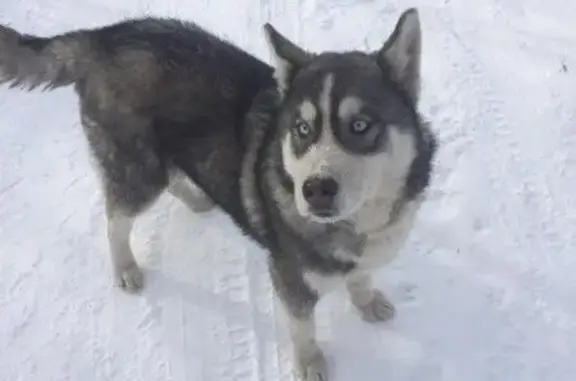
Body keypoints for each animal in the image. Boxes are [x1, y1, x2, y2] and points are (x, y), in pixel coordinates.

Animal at [0, 8, 436, 380]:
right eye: (302, 130)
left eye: (361, 125)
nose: (315, 190)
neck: (360, 225)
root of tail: (104, 37)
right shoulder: (290, 278)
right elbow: (303, 326)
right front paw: (310, 361)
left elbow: (361, 277)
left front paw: (366, 300)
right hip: (137, 170)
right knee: (115, 217)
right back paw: (125, 266)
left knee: (171, 177)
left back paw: (196, 198)